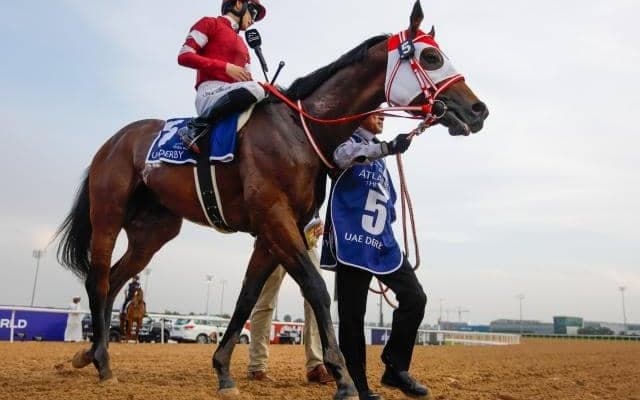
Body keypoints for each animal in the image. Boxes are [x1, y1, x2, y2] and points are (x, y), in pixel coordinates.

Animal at [57, 2, 488, 398]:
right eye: (431, 57)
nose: (478, 109)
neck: (300, 130)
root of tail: (114, 141)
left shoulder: (273, 230)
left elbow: (247, 298)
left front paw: (223, 371)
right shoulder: (275, 219)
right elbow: (316, 288)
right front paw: (343, 378)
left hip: (153, 231)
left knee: (115, 280)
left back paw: (90, 354)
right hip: (108, 215)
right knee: (98, 278)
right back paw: (103, 363)